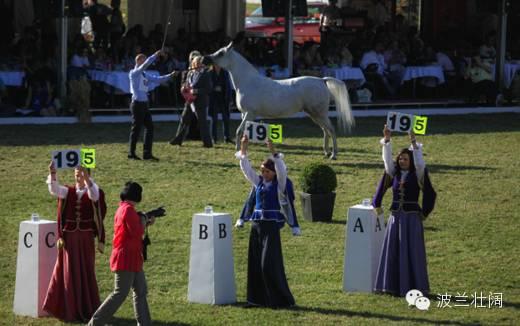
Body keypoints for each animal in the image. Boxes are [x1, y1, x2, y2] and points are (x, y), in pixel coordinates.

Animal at [205, 44, 356, 160]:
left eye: (221, 53)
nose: (205, 59)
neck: (248, 81)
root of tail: (322, 80)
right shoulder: (245, 115)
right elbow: (244, 134)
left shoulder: (249, 114)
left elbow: (238, 131)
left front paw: (238, 151)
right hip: (315, 114)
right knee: (325, 131)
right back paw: (326, 152)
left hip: (319, 114)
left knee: (331, 130)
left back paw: (333, 155)